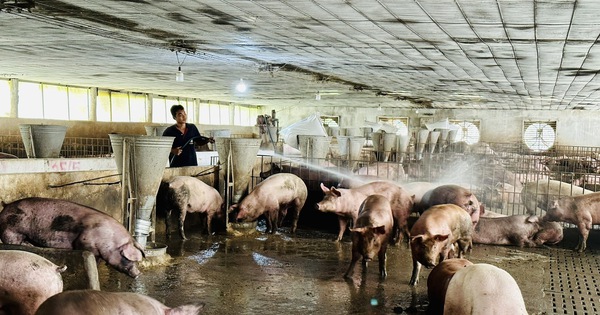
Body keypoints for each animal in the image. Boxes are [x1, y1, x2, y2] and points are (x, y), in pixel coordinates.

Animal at [0, 198, 145, 278]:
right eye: (127, 258)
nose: (138, 274)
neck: (109, 240)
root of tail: (6, 206)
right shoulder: (85, 242)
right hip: (11, 231)